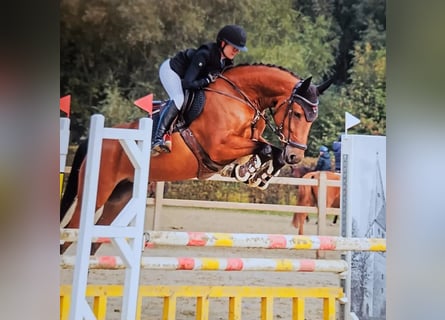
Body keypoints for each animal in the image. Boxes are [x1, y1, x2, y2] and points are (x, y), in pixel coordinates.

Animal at [59, 62, 330, 254]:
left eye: (313, 119)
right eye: (297, 114)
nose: (296, 156)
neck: (242, 97)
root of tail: (94, 140)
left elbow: (264, 148)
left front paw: (255, 174)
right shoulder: (219, 148)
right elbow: (264, 148)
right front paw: (255, 172)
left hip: (121, 195)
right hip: (98, 190)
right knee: (71, 231)